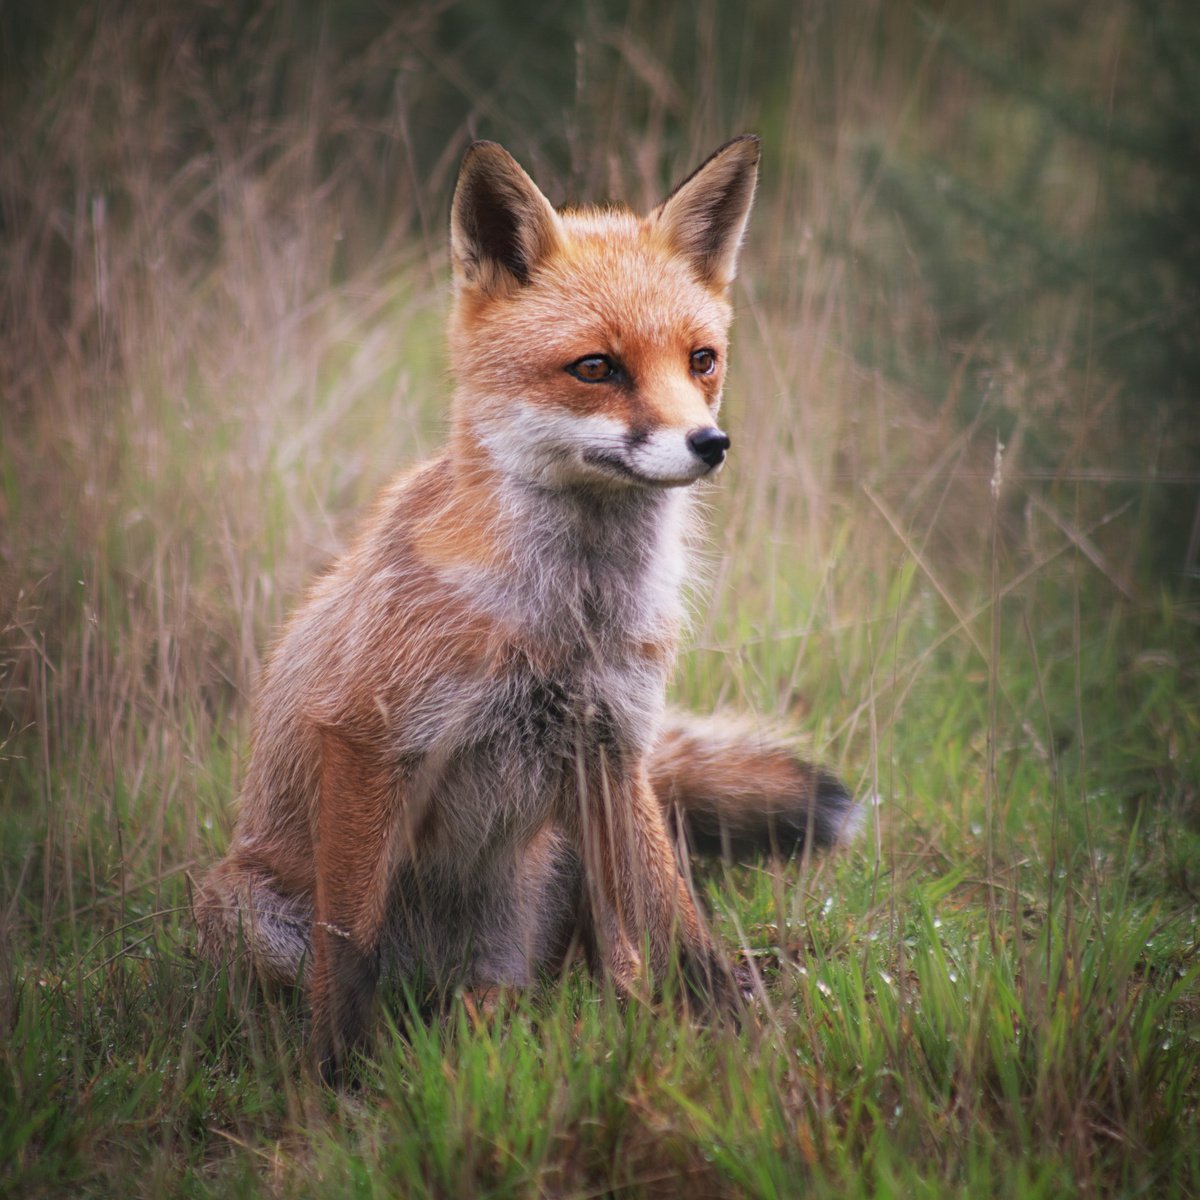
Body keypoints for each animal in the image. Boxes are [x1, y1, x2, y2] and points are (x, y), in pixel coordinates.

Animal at [195, 134, 859, 1080]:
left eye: (702, 360)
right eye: (597, 368)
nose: (711, 443)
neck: (569, 618)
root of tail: (432, 978)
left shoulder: (614, 744)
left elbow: (681, 931)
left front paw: (740, 1042)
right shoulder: (365, 735)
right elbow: (348, 942)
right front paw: (340, 1077)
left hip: (553, 876)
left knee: (567, 978)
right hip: (240, 910)